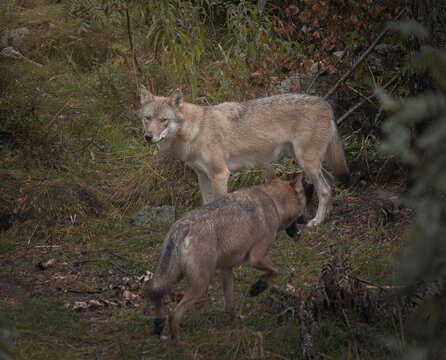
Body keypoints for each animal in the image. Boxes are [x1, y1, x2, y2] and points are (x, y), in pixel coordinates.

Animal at [139, 86, 348, 225]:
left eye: (163, 120)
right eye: (147, 119)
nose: (148, 136)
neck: (196, 131)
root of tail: (324, 102)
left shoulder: (220, 175)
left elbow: (217, 205)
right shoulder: (203, 176)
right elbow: (206, 203)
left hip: (307, 162)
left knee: (325, 188)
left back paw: (317, 221)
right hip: (304, 161)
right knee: (330, 181)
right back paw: (327, 214)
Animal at [148, 167, 308, 344]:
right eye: (305, 206)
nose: (309, 219)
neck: (273, 201)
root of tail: (179, 228)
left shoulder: (226, 267)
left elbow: (230, 304)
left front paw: (237, 319)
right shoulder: (257, 257)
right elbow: (276, 270)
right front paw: (257, 287)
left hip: (175, 275)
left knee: (157, 294)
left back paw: (158, 324)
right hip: (201, 283)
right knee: (174, 314)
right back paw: (178, 343)